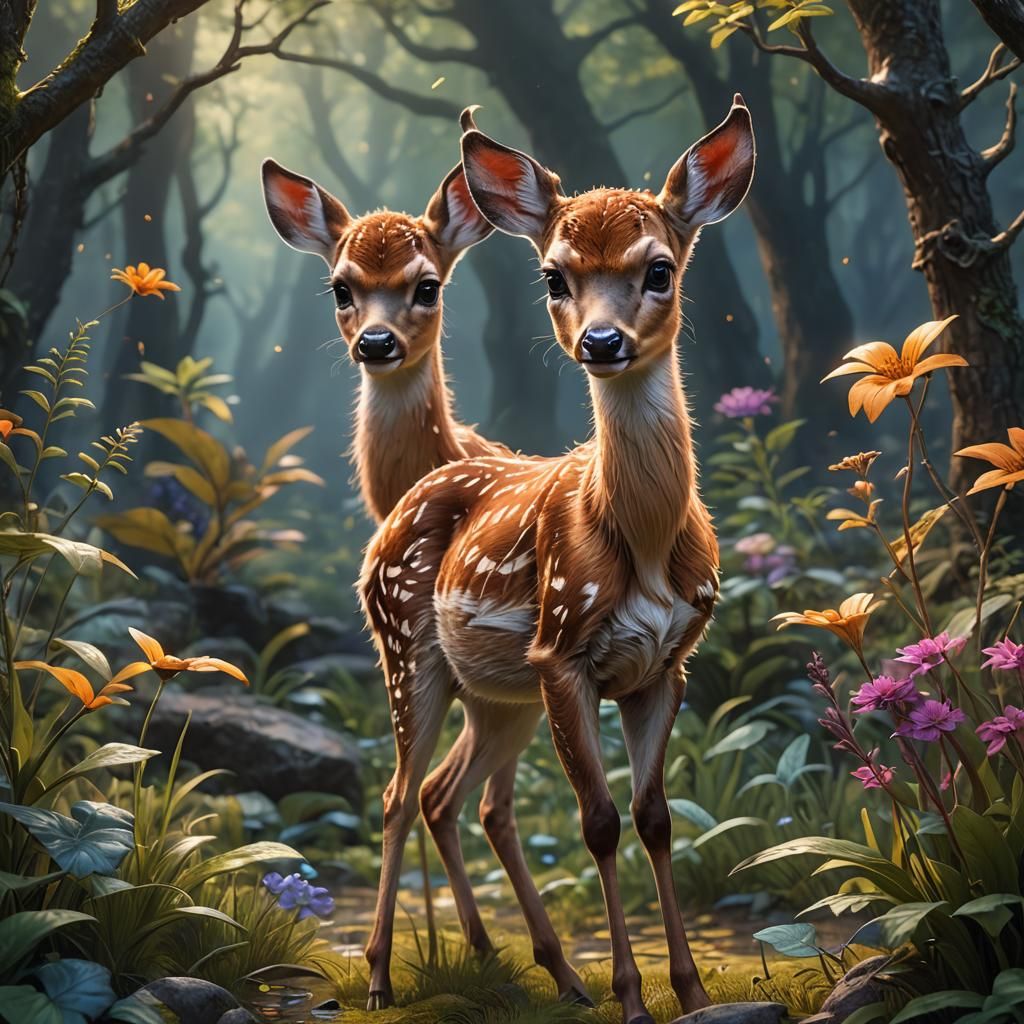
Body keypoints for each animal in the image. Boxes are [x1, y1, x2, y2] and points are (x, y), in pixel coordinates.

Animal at [358, 97, 756, 1023]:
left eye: (659, 269)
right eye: (554, 277)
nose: (603, 341)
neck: (642, 543)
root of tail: (398, 507)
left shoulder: (666, 665)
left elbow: (654, 818)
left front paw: (688, 989)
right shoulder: (563, 651)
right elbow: (598, 822)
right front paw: (633, 996)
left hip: (498, 692)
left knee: (446, 795)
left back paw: (542, 969)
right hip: (407, 648)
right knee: (396, 795)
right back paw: (384, 975)